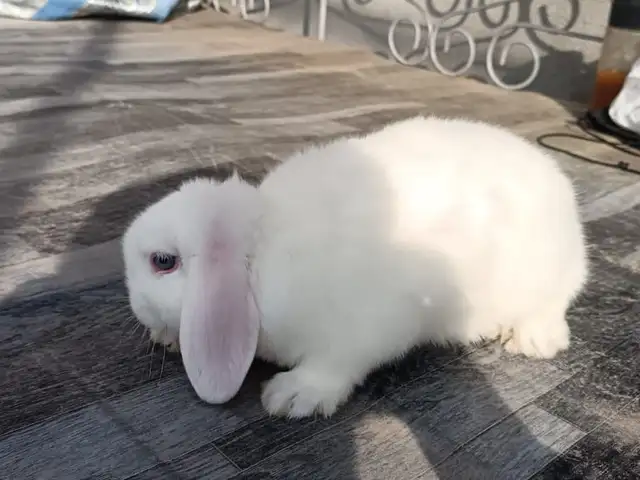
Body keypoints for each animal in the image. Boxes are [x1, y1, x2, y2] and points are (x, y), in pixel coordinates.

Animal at [121, 116, 588, 419]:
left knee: (556, 302)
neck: (264, 257)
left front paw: (291, 398)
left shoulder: (369, 327)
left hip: (549, 275)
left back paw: (532, 339)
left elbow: (337, 363)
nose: (137, 310)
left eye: (162, 262)